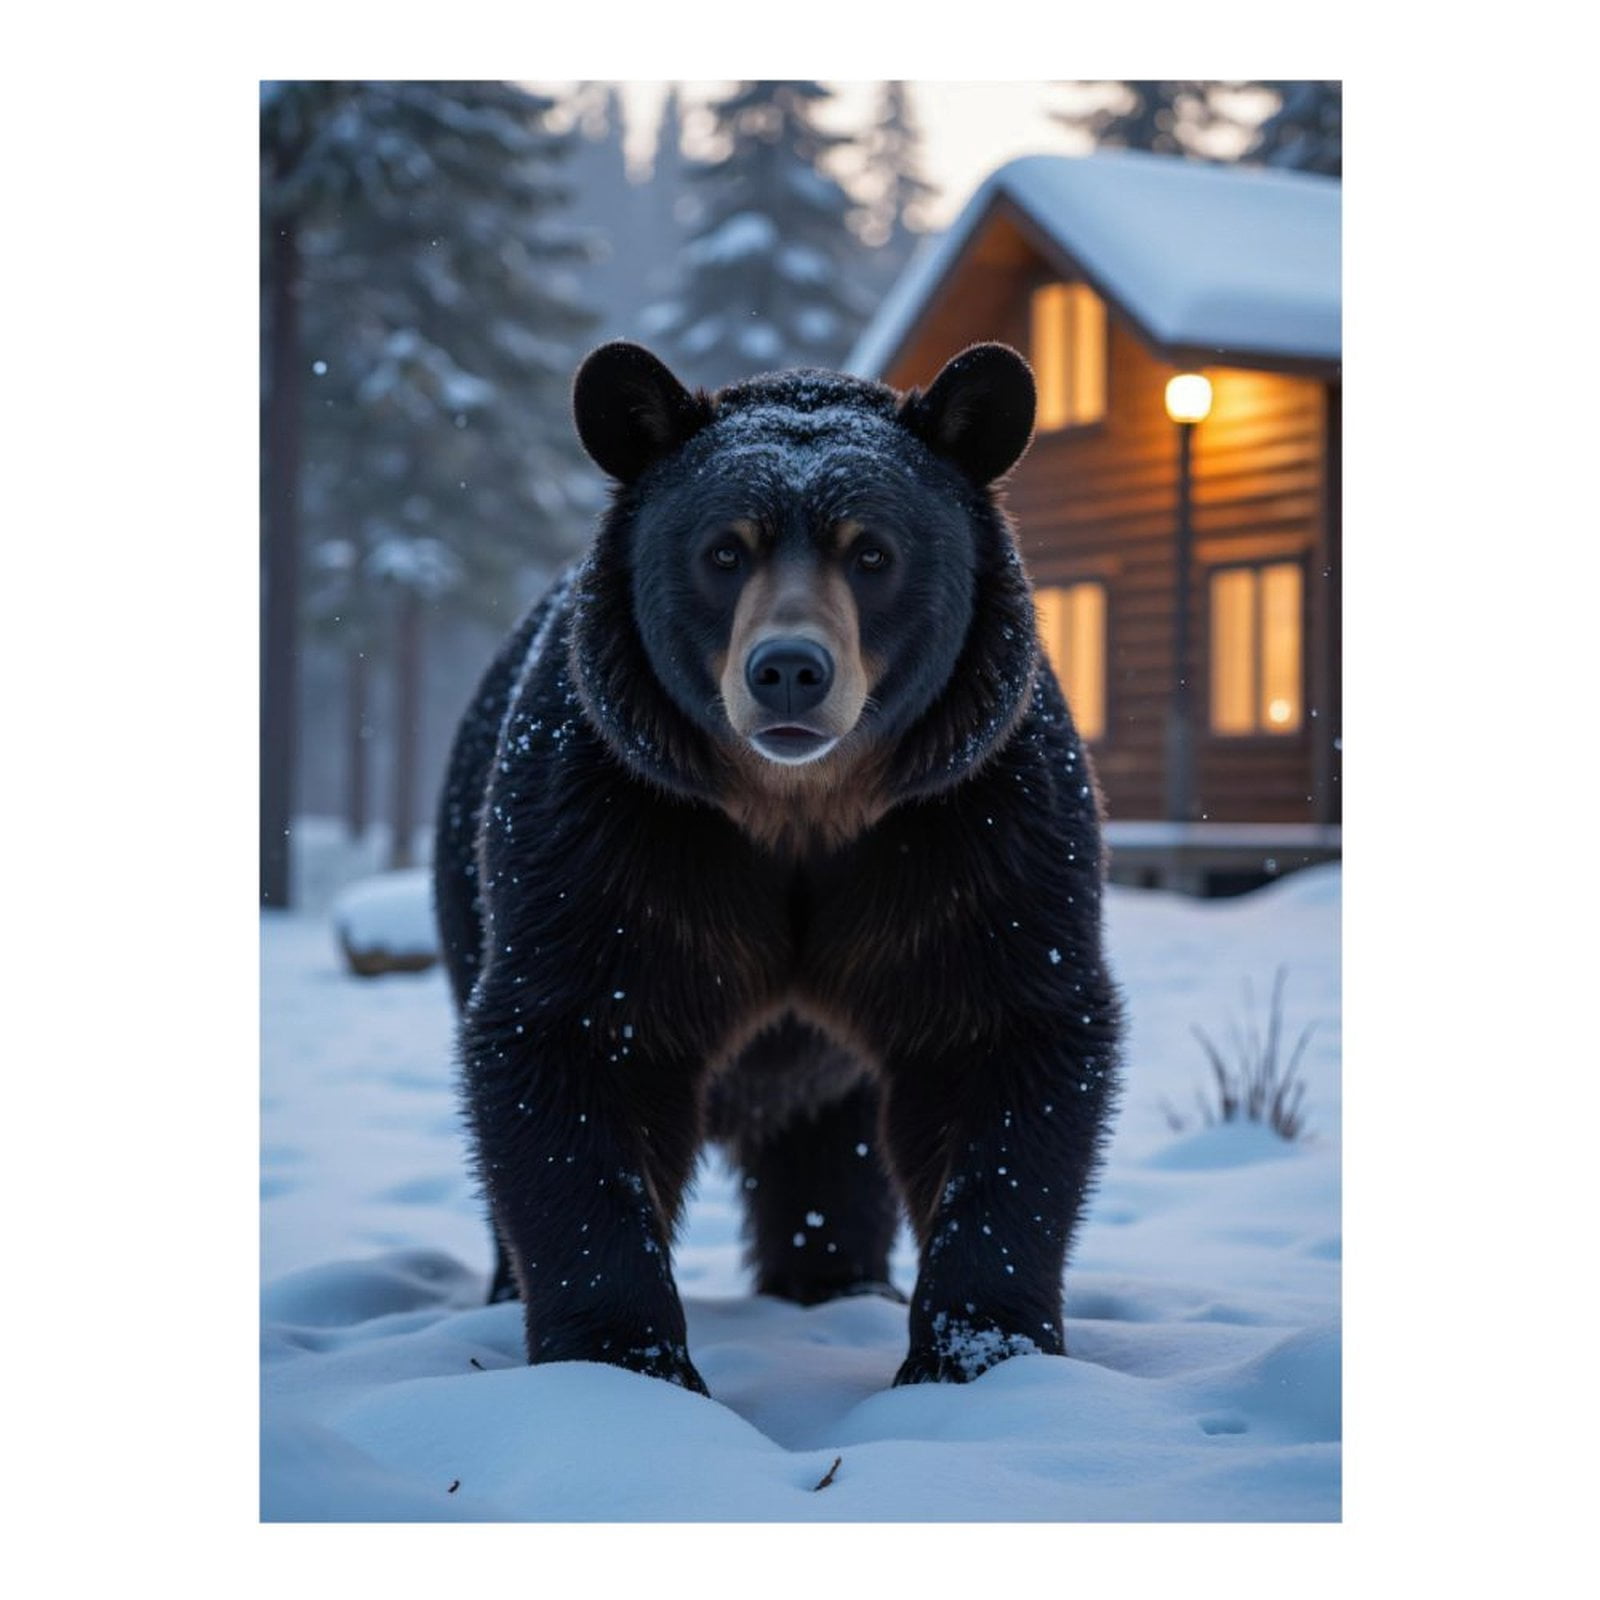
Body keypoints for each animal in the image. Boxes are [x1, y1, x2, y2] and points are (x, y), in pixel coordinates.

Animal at [432, 340, 1122, 1394]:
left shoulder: (975, 830)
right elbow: (573, 1045)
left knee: (829, 1145)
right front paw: (623, 1358)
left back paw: (834, 1279)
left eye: (872, 552)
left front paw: (975, 1351)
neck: (798, 812)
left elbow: (1008, 1038)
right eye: (724, 550)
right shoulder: (611, 830)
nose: (790, 669)